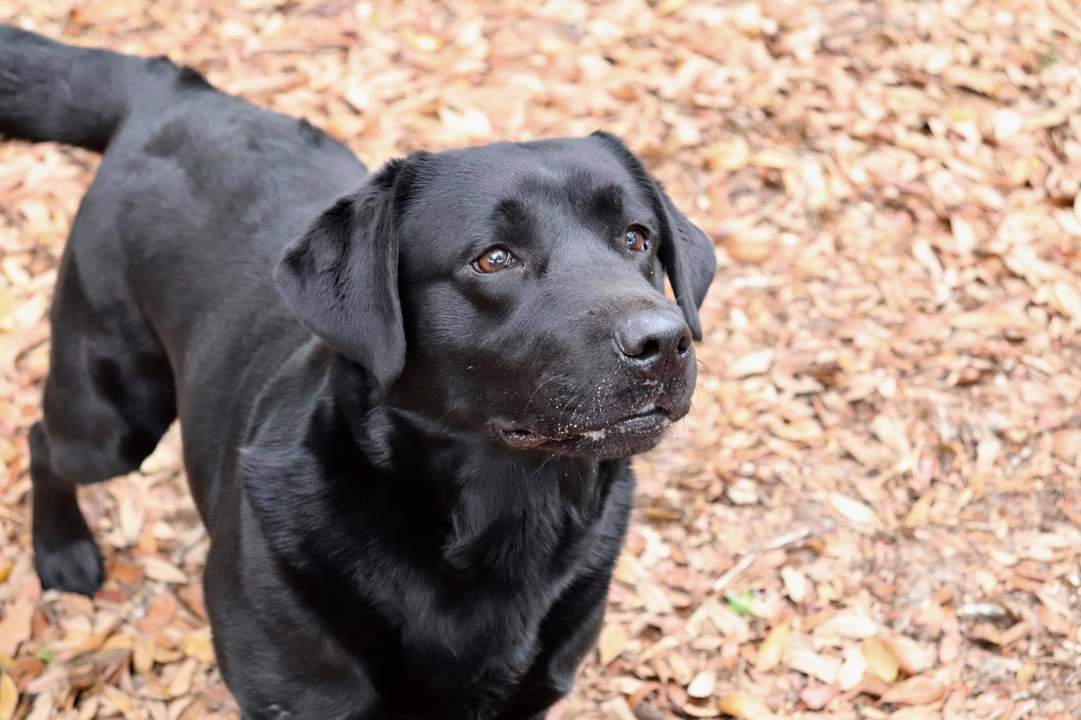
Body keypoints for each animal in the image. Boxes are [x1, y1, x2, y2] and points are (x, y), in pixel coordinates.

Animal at [2, 26, 717, 717]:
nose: (663, 341)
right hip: (114, 417)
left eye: (637, 239)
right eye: (494, 258)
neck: (502, 526)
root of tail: (170, 90)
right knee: (43, 441)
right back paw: (62, 552)